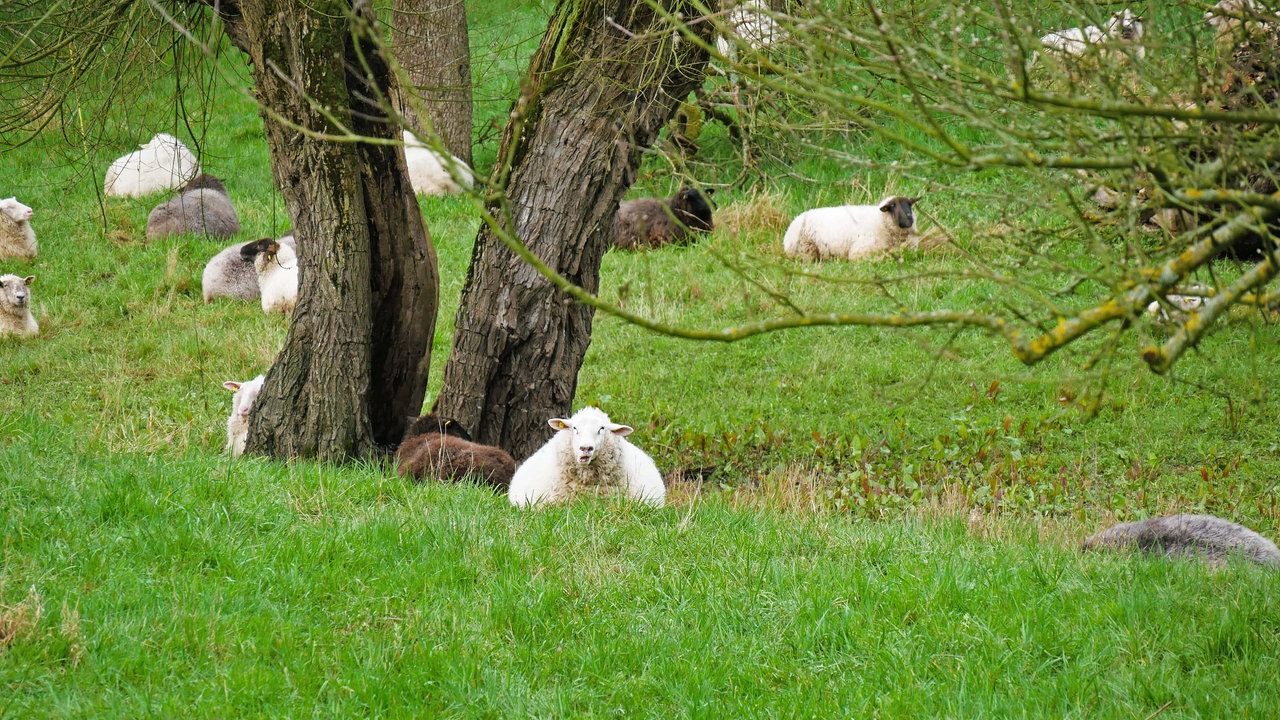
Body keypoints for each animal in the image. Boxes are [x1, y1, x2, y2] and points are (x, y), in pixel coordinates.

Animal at [782, 195, 919, 261]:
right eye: (892, 206)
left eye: (909, 204)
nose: (909, 218)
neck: (880, 221)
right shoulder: (859, 252)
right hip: (805, 250)